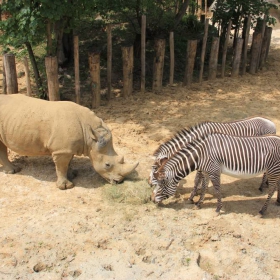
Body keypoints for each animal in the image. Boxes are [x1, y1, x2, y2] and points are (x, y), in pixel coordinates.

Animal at [152, 132, 280, 215]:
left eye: (162, 185)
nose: (152, 200)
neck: (200, 155)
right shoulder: (206, 172)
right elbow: (204, 187)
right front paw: (199, 204)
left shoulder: (214, 172)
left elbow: (217, 190)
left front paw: (218, 209)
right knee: (277, 187)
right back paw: (278, 202)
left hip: (273, 169)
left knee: (272, 189)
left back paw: (263, 210)